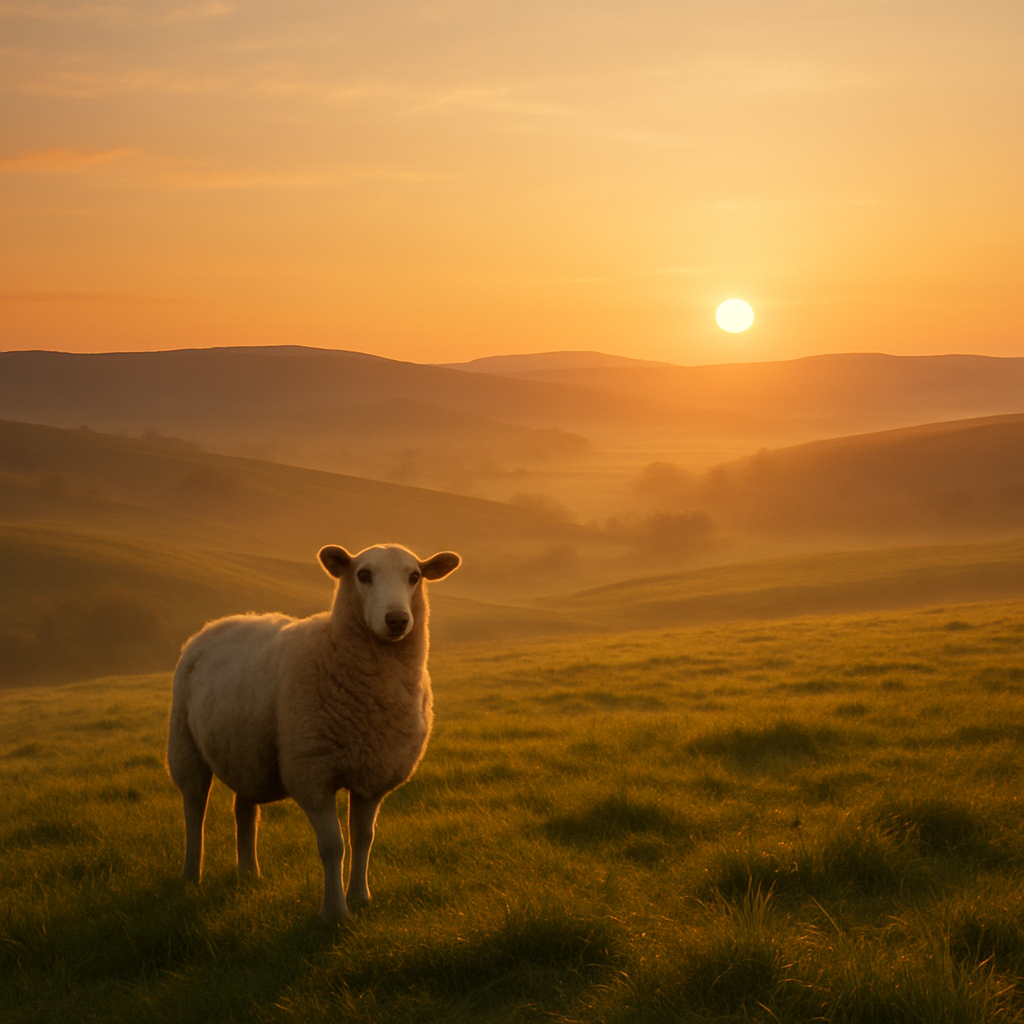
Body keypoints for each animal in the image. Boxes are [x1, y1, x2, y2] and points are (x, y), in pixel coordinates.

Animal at [166, 542, 460, 922]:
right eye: (363, 574)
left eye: (415, 576)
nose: (397, 620)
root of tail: (216, 624)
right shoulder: (312, 772)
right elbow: (333, 846)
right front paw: (335, 913)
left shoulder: (372, 774)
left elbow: (363, 838)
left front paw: (360, 896)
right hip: (185, 744)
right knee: (194, 811)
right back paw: (191, 874)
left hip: (247, 750)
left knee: (244, 810)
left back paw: (249, 872)